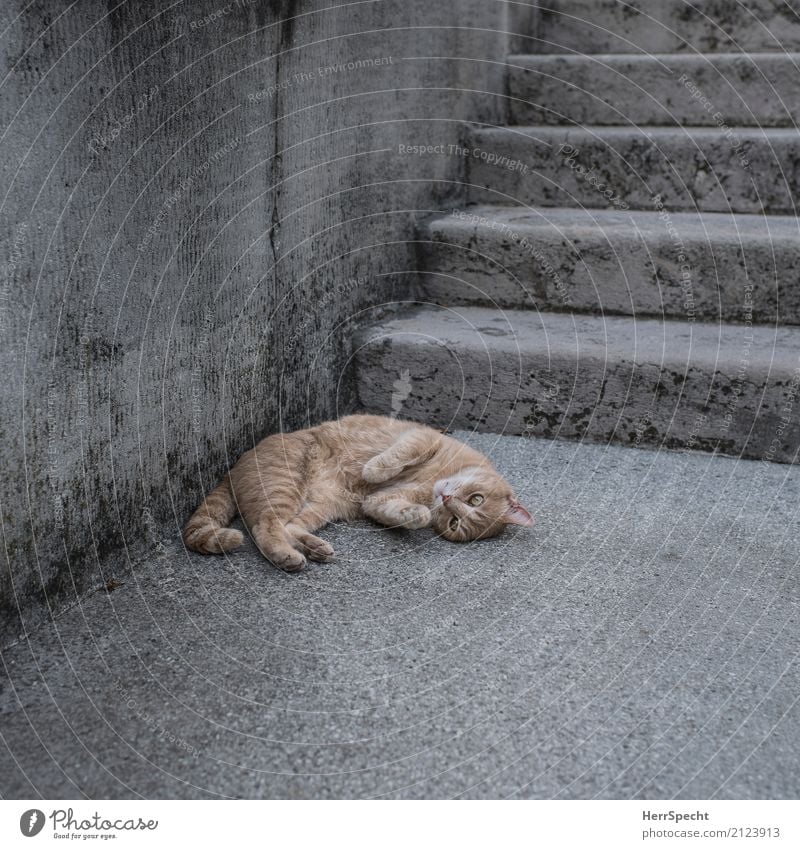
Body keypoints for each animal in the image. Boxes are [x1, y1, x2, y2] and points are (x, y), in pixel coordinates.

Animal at [181, 412, 532, 568]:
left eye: (454, 524)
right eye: (476, 498)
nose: (446, 499)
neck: (436, 477)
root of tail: (232, 468)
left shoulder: (375, 502)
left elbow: (404, 513)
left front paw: (416, 514)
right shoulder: (422, 438)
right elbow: (397, 455)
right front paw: (372, 469)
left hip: (319, 506)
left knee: (282, 527)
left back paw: (310, 549)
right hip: (284, 484)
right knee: (265, 526)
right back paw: (290, 556)